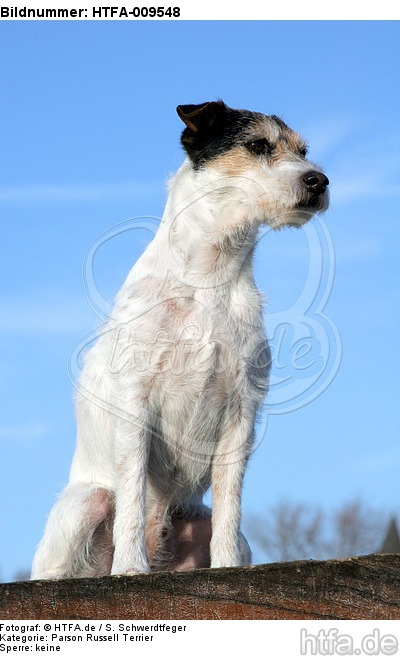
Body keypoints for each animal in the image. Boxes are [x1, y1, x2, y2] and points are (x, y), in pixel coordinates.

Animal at [31, 100, 330, 576]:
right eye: (257, 145)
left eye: (303, 151)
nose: (318, 180)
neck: (209, 279)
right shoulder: (136, 403)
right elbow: (133, 493)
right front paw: (130, 568)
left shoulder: (241, 413)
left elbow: (230, 504)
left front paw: (226, 568)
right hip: (84, 504)